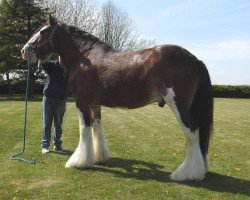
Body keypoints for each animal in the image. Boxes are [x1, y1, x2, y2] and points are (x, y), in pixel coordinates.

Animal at [21, 15, 213, 181]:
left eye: (42, 31)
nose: (24, 50)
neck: (85, 58)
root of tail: (194, 59)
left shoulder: (82, 102)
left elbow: (84, 129)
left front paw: (79, 161)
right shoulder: (95, 104)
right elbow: (97, 128)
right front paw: (99, 157)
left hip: (178, 104)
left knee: (192, 132)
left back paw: (186, 174)